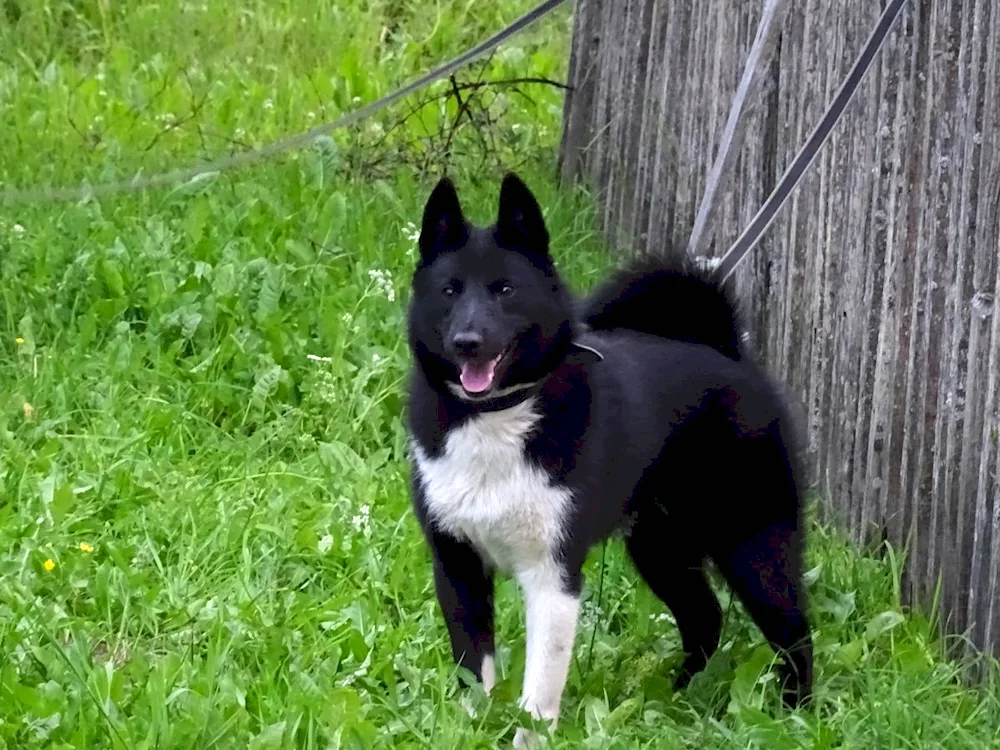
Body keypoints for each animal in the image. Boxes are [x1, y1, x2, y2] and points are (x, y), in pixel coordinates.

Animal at [404, 173, 812, 744]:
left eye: (505, 290)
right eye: (449, 290)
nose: (468, 342)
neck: (497, 415)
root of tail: (727, 351)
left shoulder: (552, 576)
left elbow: (539, 689)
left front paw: (529, 739)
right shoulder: (457, 568)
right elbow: (474, 672)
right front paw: (472, 731)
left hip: (752, 543)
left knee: (792, 629)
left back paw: (797, 711)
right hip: (659, 544)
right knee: (704, 616)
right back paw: (680, 694)